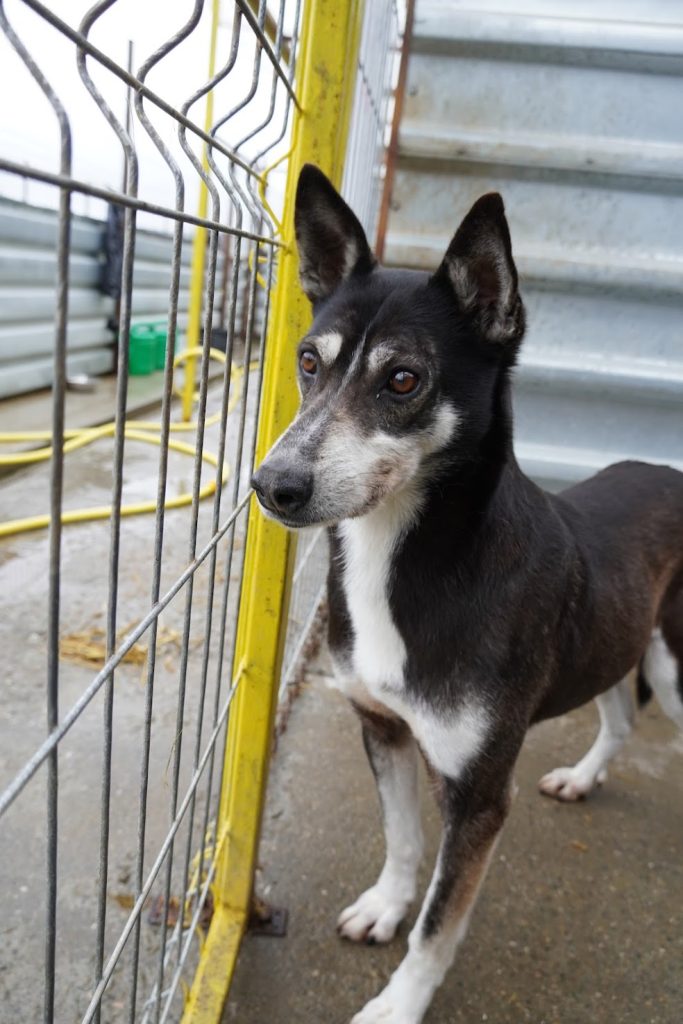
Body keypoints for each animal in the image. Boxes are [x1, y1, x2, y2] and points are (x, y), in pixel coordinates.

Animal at [250, 163, 683, 1019]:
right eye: (309, 363)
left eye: (402, 379)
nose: (272, 486)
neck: (408, 560)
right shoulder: (381, 727)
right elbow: (402, 841)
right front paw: (385, 906)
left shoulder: (480, 794)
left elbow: (439, 921)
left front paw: (398, 1003)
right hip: (618, 638)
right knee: (620, 718)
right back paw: (581, 777)